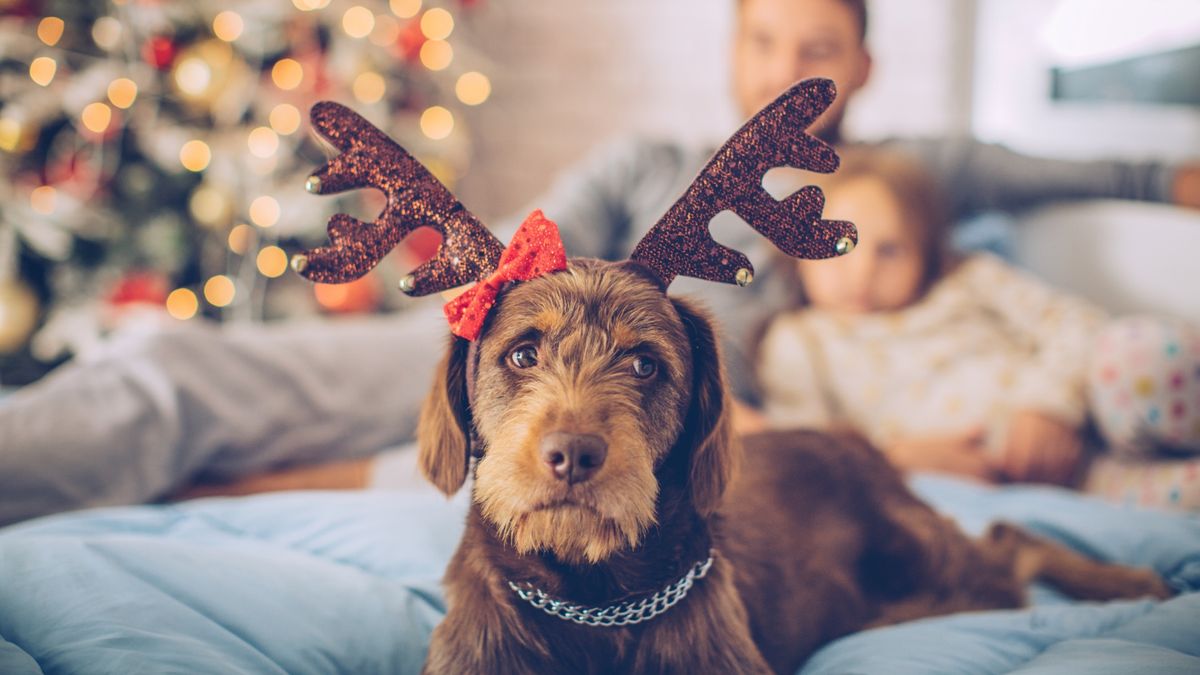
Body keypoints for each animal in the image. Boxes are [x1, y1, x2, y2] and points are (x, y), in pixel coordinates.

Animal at [415, 258, 1171, 672]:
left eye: (644, 364)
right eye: (522, 353)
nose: (572, 453)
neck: (592, 599)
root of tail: (857, 445)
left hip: (938, 569)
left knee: (1012, 542)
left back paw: (1128, 580)